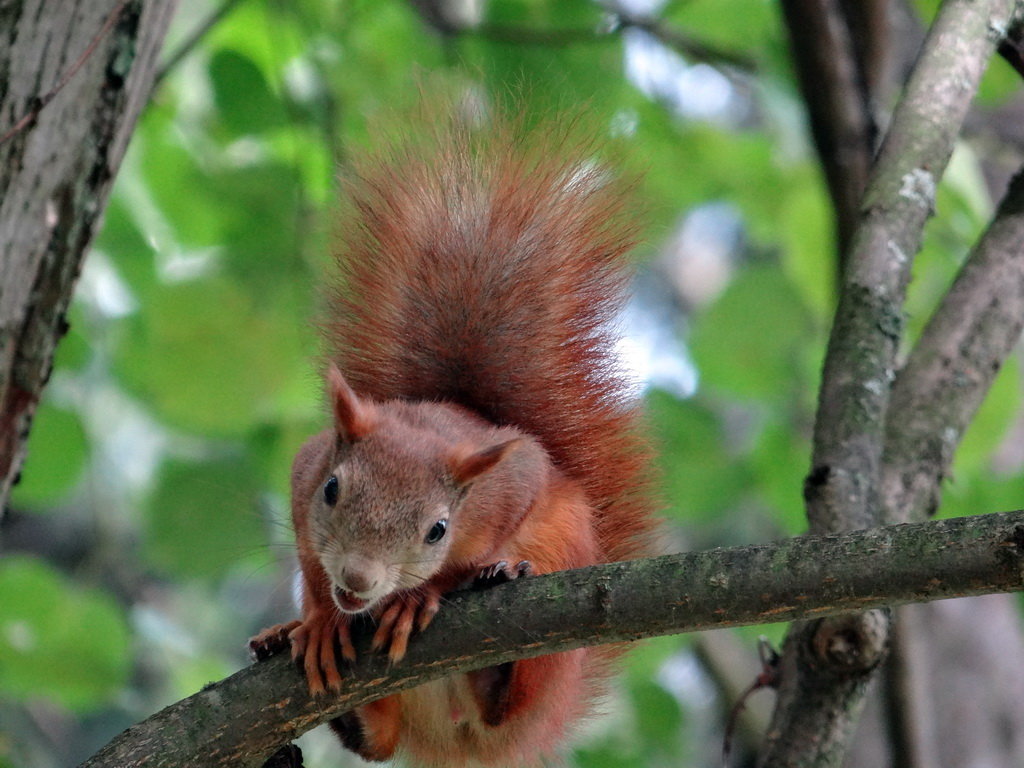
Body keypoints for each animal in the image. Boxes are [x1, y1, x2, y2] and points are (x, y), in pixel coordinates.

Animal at [249, 109, 655, 768]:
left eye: (438, 529)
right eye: (332, 490)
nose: (358, 582)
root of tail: (452, 743)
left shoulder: (510, 484)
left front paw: (423, 595)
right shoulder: (304, 474)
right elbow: (311, 562)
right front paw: (321, 620)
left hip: (561, 601)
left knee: (509, 698)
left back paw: (501, 620)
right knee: (380, 741)